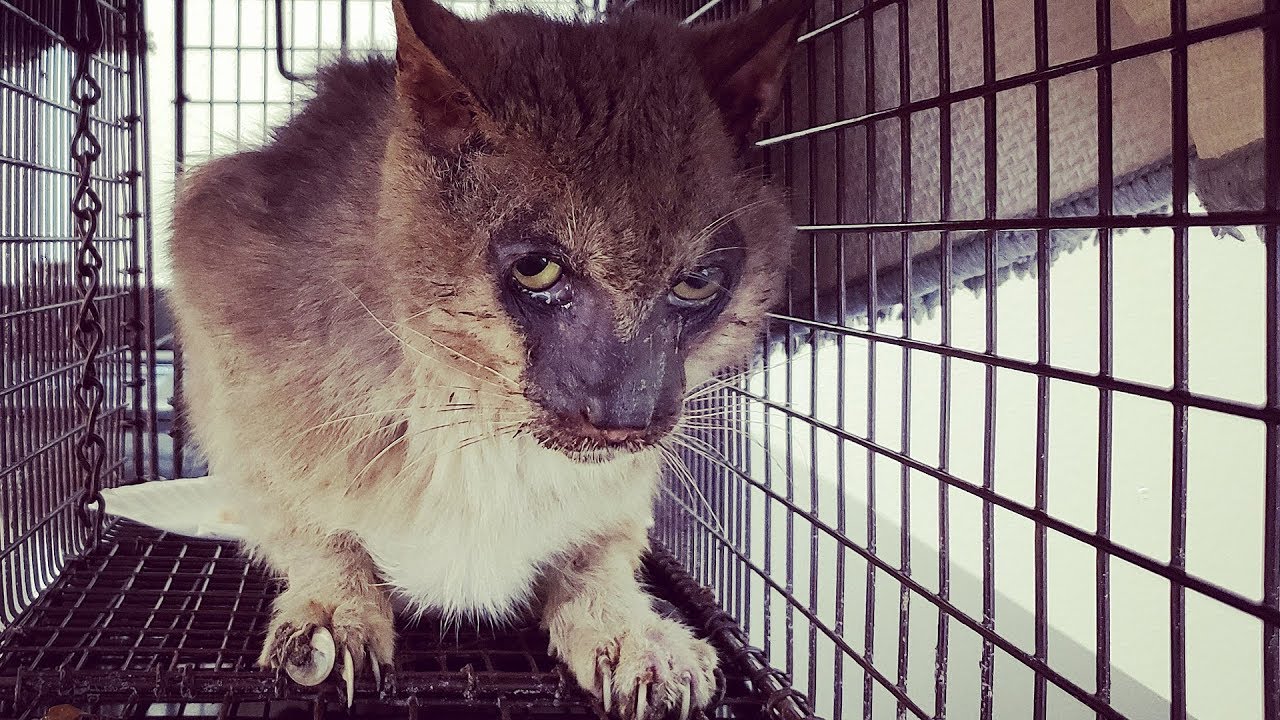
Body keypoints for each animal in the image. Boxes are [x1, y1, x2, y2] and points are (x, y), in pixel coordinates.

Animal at [167, 0, 808, 712]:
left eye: (696, 282)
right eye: (536, 269)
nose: (626, 419)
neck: (474, 422)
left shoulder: (618, 495)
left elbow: (598, 559)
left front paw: (634, 635)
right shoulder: (249, 405)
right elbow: (317, 537)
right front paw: (331, 619)